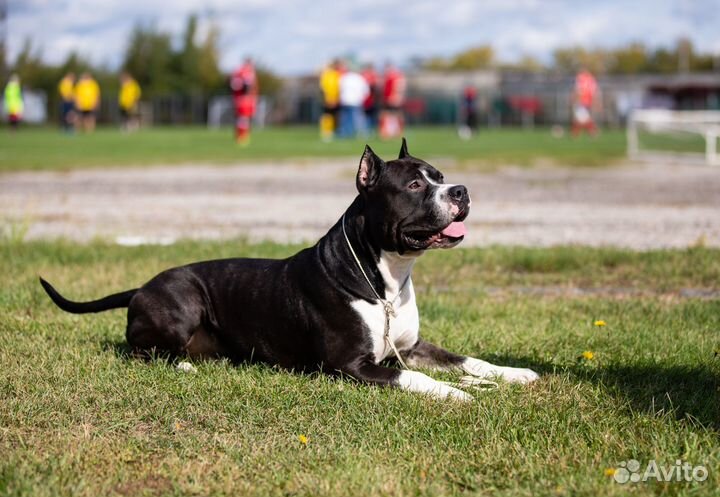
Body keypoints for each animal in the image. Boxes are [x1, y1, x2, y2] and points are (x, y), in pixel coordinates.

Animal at [39, 140, 536, 400]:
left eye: (440, 176)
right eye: (415, 184)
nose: (461, 190)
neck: (386, 279)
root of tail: (141, 286)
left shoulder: (411, 347)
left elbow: (469, 359)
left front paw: (512, 374)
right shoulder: (351, 365)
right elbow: (417, 378)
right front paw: (458, 393)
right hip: (182, 302)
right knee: (141, 353)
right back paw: (181, 366)